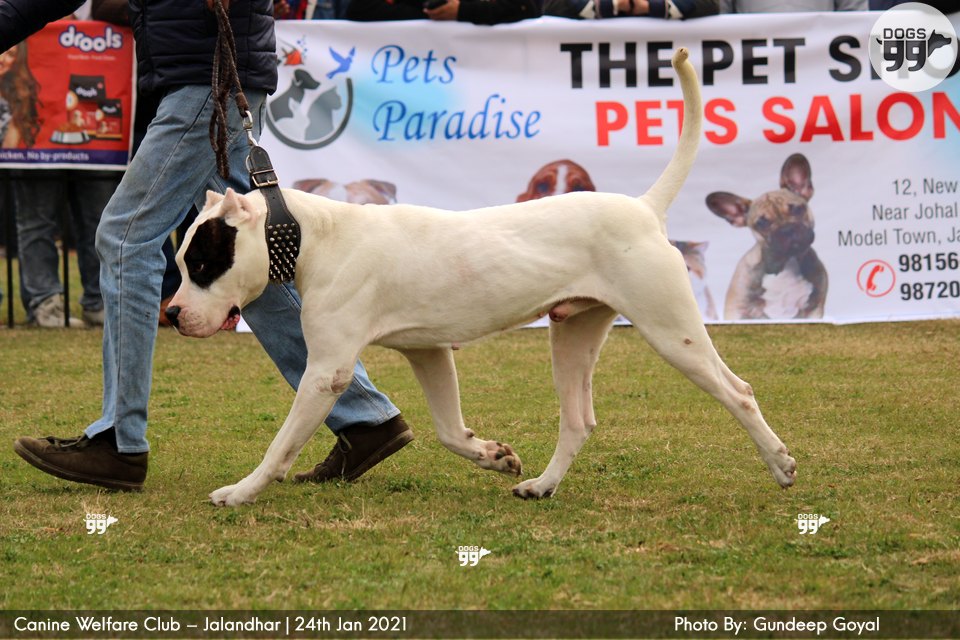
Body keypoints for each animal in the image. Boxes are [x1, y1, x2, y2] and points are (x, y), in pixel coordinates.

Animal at [166, 49, 796, 506]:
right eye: (184, 264)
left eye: (202, 264)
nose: (171, 314)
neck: (312, 234)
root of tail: (643, 207)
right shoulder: (428, 353)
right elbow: (448, 430)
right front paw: (492, 454)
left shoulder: (327, 372)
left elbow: (281, 446)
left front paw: (240, 491)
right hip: (573, 335)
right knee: (579, 421)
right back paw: (541, 485)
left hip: (672, 332)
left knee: (738, 392)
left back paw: (781, 464)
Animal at [706, 154, 826, 320]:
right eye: (761, 223)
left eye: (797, 209)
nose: (787, 230)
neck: (787, 262)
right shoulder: (737, 312)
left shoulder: (814, 310)